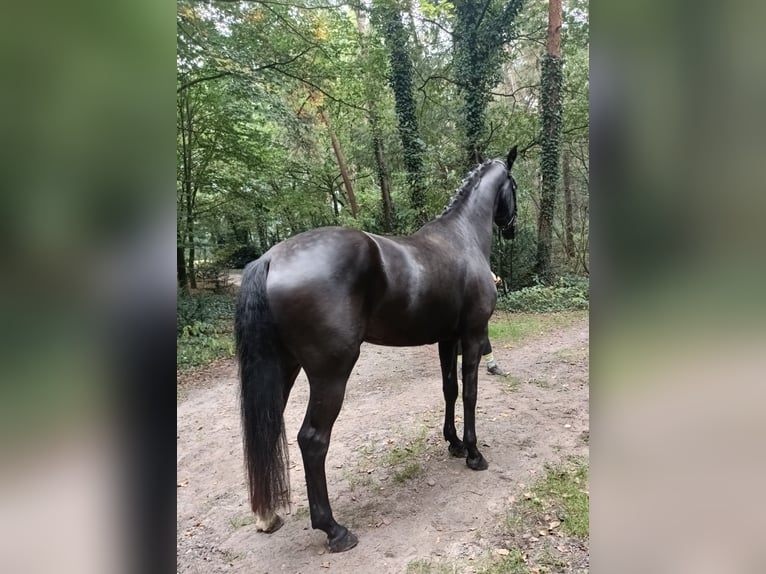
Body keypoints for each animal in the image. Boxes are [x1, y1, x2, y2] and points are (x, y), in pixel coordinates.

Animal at [234, 146, 520, 556]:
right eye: (514, 185)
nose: (512, 226)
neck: (462, 238)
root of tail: (271, 258)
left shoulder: (446, 340)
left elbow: (449, 391)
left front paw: (452, 444)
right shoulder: (472, 336)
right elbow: (470, 394)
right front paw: (473, 453)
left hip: (282, 368)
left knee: (269, 431)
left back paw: (268, 516)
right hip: (331, 374)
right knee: (312, 440)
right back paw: (334, 529)